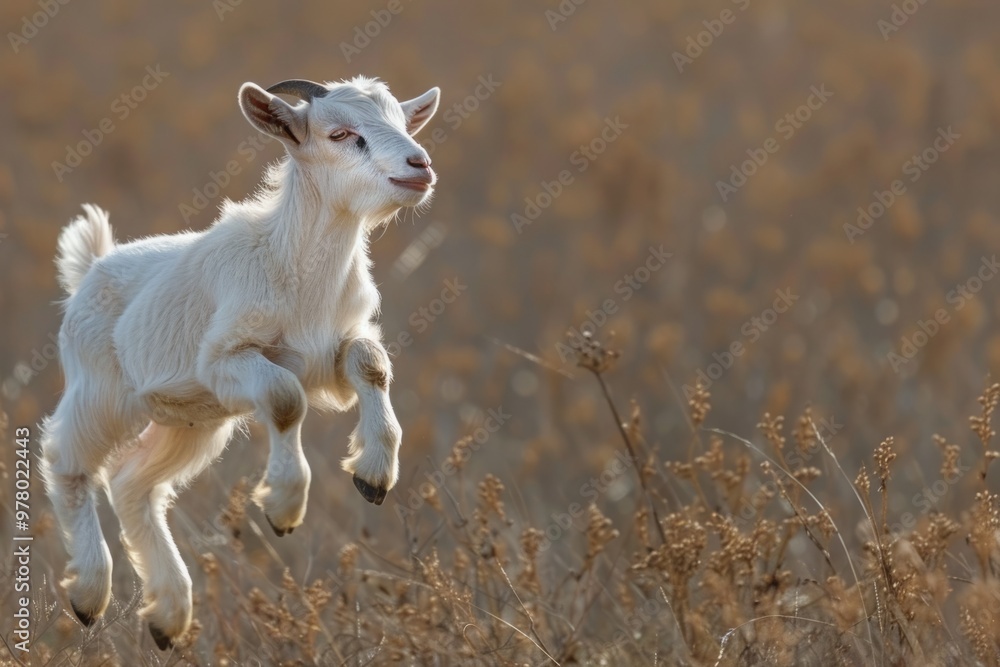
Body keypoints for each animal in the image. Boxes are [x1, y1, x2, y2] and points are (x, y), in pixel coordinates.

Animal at [40, 76, 440, 650]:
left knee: (133, 484)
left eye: (404, 124)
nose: (419, 165)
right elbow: (284, 398)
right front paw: (283, 506)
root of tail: (92, 266)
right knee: (67, 461)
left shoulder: (328, 354)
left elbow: (369, 362)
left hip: (190, 420)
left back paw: (168, 615)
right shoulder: (226, 360)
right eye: (341, 134)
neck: (295, 268)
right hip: (101, 391)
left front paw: (373, 476)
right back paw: (90, 595)